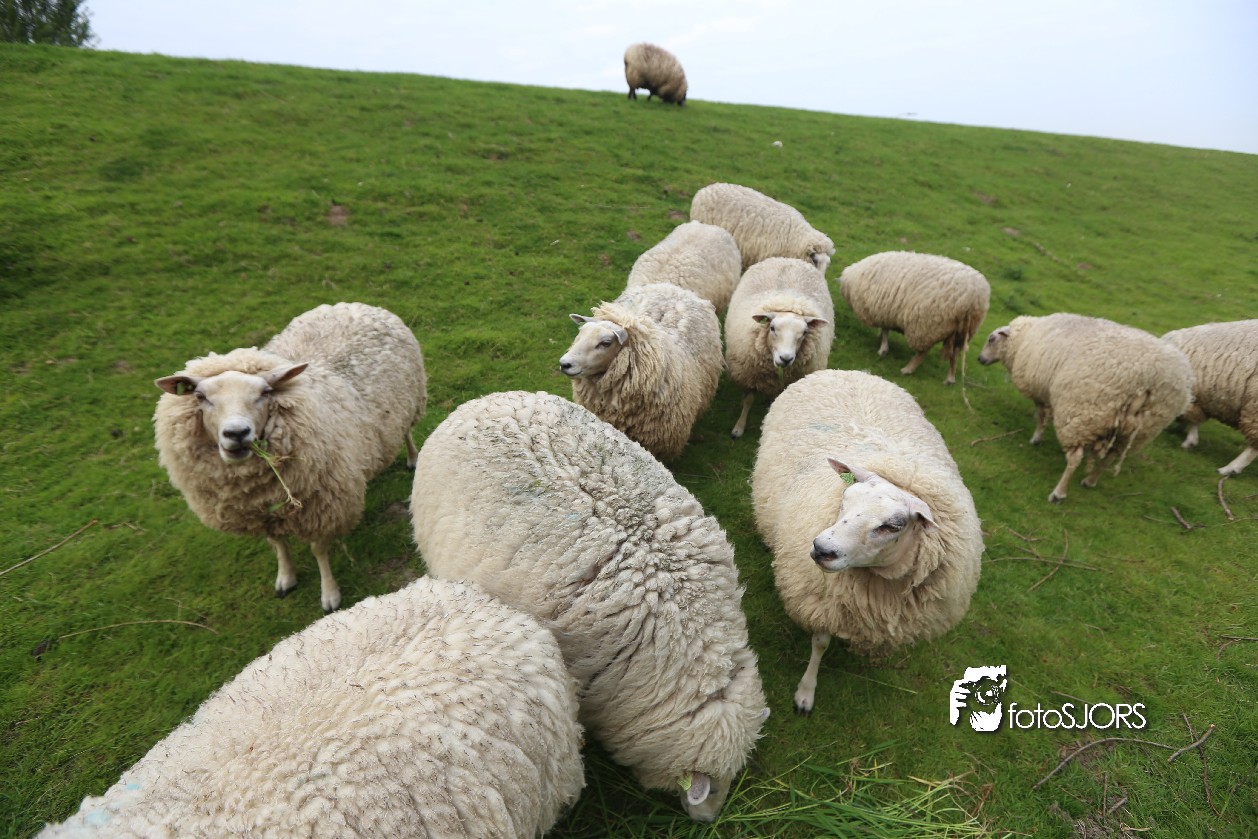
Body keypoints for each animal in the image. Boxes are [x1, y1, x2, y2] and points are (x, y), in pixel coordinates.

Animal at [154, 302, 426, 612]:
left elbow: (318, 549)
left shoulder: (321, 506)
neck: (255, 487)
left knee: (407, 432)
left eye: (265, 392)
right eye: (200, 396)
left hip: (411, 399)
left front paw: (329, 594)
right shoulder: (262, 512)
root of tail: (352, 305)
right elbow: (279, 543)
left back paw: (413, 458)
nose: (237, 433)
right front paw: (285, 577)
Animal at [724, 257, 835, 439]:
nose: (786, 358)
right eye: (772, 328)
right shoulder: (750, 375)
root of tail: (788, 259)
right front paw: (738, 428)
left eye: (805, 332)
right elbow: (748, 400)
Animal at [751, 369, 984, 715]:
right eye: (845, 497)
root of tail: (853, 372)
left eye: (892, 526)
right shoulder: (824, 602)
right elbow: (820, 643)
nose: (821, 549)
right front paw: (806, 692)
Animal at [837, 251, 991, 384]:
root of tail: (973, 298)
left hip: (927, 325)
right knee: (955, 354)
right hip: (963, 332)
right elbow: (885, 329)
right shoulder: (886, 311)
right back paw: (950, 378)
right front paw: (881, 339)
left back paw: (908, 369)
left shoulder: (882, 309)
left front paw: (883, 349)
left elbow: (886, 330)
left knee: (923, 352)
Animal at [978, 313, 1194, 503]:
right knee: (1111, 456)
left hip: (1082, 411)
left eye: (991, 339)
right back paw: (1090, 480)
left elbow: (1041, 416)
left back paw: (1058, 493)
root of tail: (1149, 379)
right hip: (1143, 427)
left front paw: (1036, 438)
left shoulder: (1039, 390)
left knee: (1075, 458)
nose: (980, 359)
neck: (1023, 339)